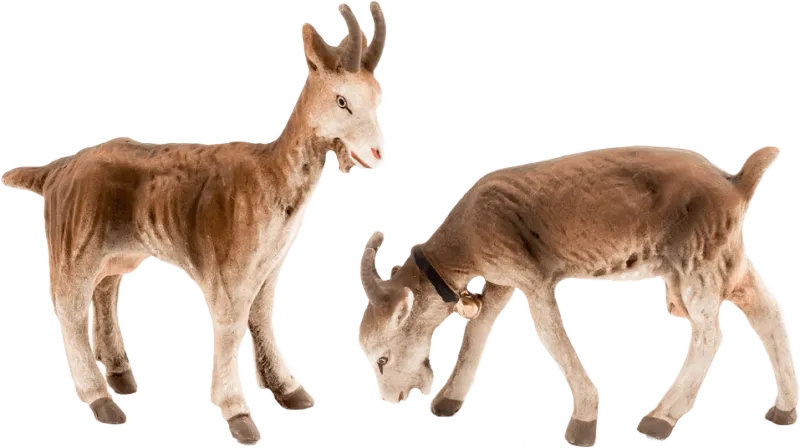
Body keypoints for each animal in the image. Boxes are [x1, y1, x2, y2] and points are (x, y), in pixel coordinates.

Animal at [0, 2, 388, 446]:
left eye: (379, 99)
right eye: (342, 101)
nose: (379, 153)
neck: (270, 175)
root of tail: (57, 170)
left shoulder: (271, 264)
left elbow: (263, 317)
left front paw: (290, 391)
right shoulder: (229, 271)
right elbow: (231, 326)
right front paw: (238, 415)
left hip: (116, 248)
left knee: (105, 289)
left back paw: (121, 374)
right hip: (73, 241)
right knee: (69, 308)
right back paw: (102, 401)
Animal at [356, 144, 798, 447]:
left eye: (382, 358)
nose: (391, 398)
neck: (464, 242)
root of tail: (735, 182)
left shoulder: (531, 277)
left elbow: (551, 335)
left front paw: (583, 423)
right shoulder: (501, 280)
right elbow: (478, 327)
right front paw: (448, 401)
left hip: (698, 264)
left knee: (710, 334)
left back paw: (659, 420)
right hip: (726, 259)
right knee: (769, 310)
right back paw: (784, 409)